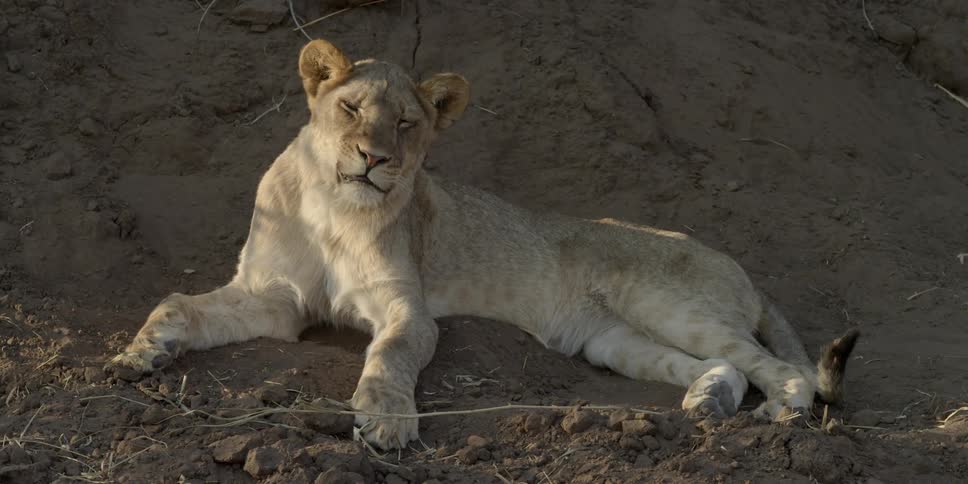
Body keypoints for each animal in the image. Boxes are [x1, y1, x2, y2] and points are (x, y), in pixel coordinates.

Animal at [106, 39, 859, 449]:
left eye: (406, 123)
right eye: (349, 109)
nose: (374, 160)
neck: (331, 207)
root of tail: (745, 272)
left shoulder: (405, 307)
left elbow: (389, 356)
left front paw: (385, 422)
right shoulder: (274, 299)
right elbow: (178, 302)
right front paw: (141, 354)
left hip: (668, 305)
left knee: (775, 366)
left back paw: (780, 413)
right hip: (611, 340)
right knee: (726, 365)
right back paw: (708, 403)